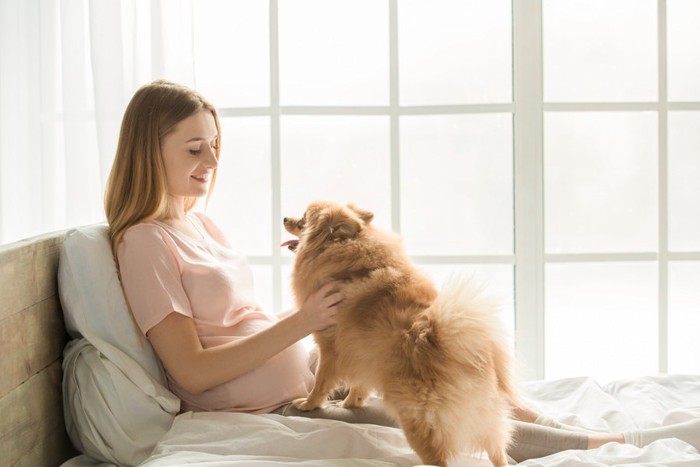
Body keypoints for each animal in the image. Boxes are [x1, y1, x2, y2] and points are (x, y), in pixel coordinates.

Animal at [282, 201, 516, 467]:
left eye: (302, 221)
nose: (284, 218)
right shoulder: (362, 350)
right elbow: (360, 383)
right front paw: (351, 402)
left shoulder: (330, 346)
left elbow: (321, 381)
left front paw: (309, 404)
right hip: (487, 419)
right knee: (498, 452)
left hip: (415, 418)